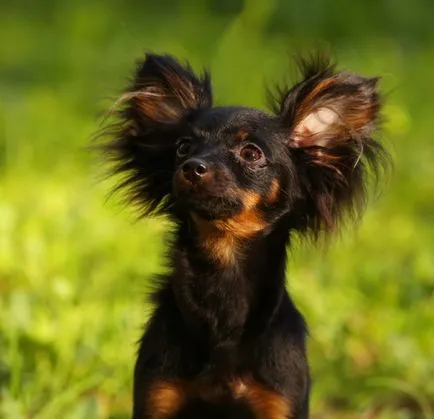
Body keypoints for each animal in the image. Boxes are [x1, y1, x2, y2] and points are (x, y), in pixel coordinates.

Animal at [101, 53, 386, 419]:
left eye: (251, 153)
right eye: (183, 147)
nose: (192, 167)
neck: (224, 272)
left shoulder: (279, 401)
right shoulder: (157, 393)